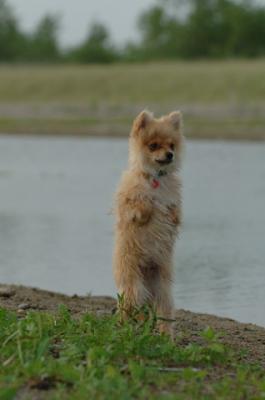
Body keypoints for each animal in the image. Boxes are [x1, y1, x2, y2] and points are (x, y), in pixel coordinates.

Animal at [112, 109, 183, 338]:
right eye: (153, 146)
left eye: (172, 146)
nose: (169, 155)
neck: (156, 178)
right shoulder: (128, 203)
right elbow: (141, 206)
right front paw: (149, 207)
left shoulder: (174, 199)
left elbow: (175, 211)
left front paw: (173, 217)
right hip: (134, 287)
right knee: (128, 310)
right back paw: (124, 328)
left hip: (162, 291)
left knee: (162, 314)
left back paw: (166, 336)